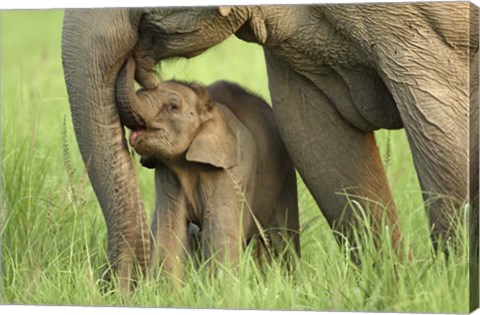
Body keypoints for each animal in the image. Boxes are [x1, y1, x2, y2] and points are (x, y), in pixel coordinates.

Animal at [116, 59, 300, 284]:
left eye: (172, 107)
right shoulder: (167, 173)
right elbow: (169, 228)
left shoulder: (231, 170)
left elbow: (219, 229)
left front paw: (222, 288)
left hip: (286, 175)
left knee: (283, 237)